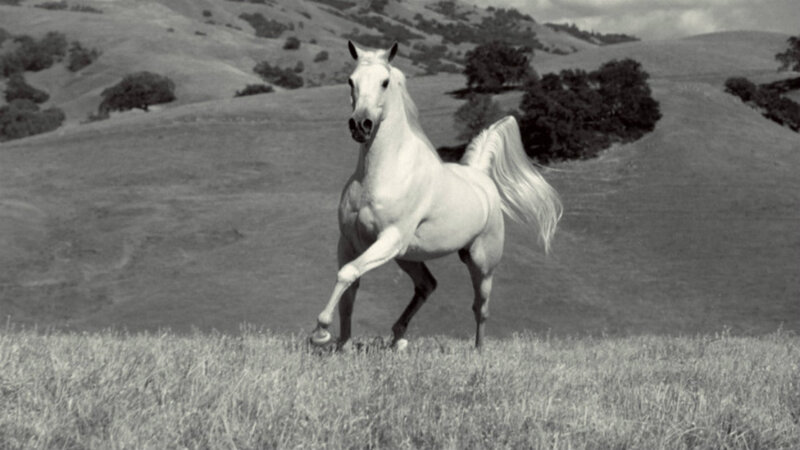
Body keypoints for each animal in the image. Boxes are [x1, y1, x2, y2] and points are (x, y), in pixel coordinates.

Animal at [309, 41, 562, 349]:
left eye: (384, 82)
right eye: (350, 81)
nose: (360, 124)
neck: (381, 174)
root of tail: (480, 176)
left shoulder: (389, 238)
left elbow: (347, 274)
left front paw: (321, 332)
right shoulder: (349, 242)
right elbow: (349, 287)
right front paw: (342, 345)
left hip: (481, 262)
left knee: (480, 307)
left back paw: (477, 352)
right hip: (407, 256)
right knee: (427, 285)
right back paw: (397, 338)